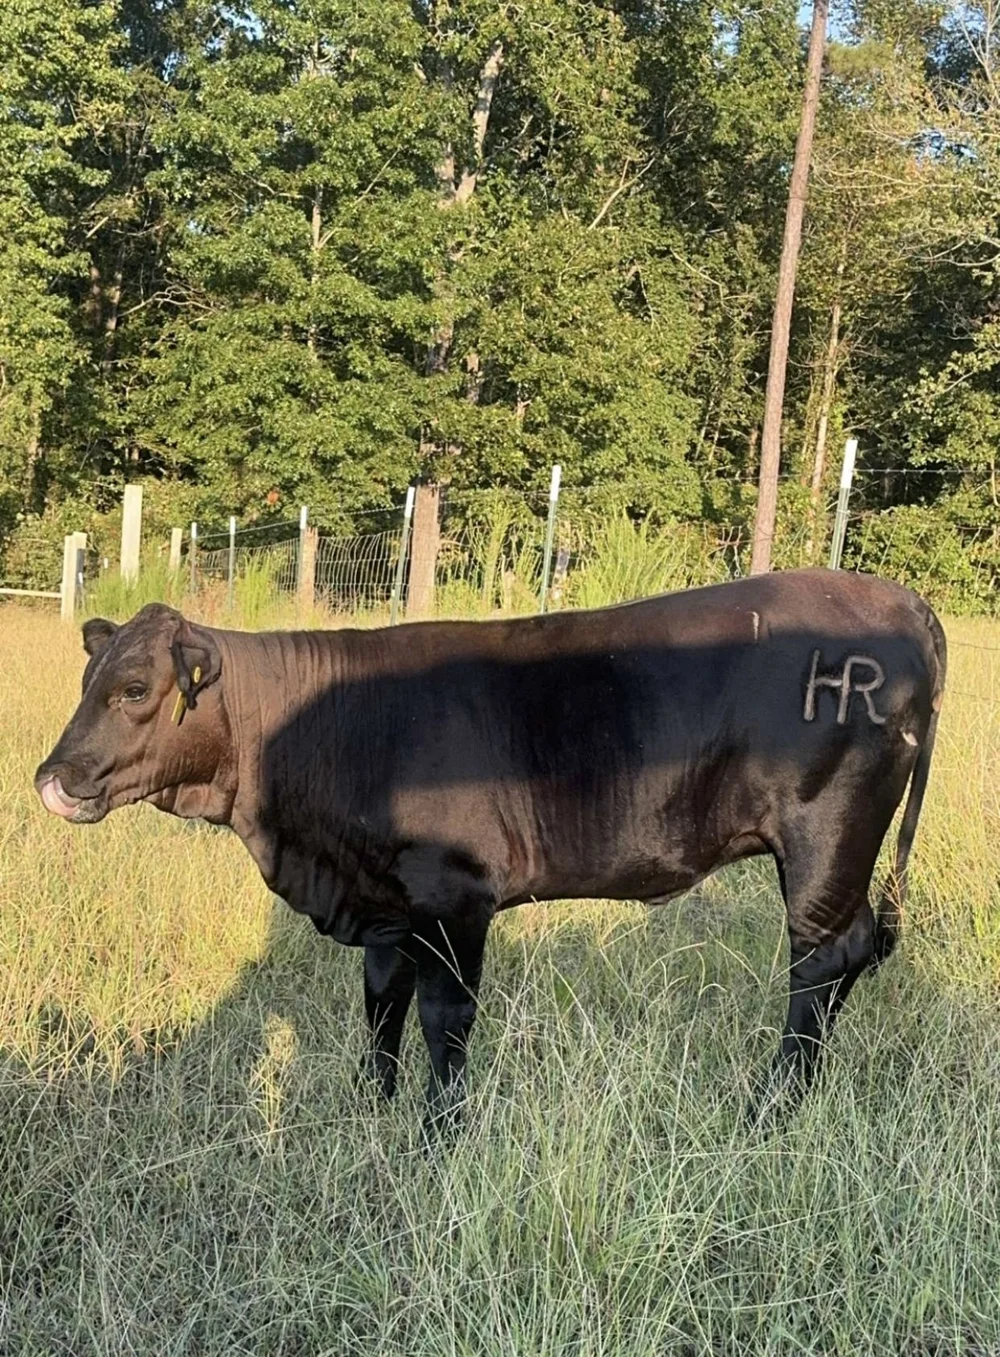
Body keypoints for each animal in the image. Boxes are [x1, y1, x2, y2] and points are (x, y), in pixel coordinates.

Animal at [35, 568, 945, 1132]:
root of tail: (898, 599)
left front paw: (440, 1130)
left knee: (820, 963)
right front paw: (372, 1105)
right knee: (848, 954)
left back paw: (774, 1104)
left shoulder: (455, 896)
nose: (51, 777)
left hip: (826, 838)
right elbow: (381, 1001)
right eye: (84, 681)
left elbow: (445, 1017)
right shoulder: (388, 902)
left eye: (135, 688)